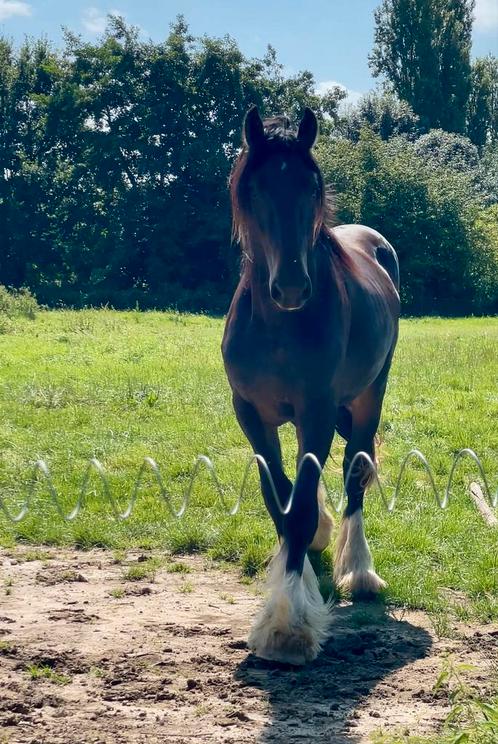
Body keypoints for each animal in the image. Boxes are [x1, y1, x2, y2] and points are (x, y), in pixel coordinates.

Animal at [223, 107, 400, 664]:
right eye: (258, 189)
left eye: (312, 186)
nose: (292, 287)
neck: (278, 326)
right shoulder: (250, 415)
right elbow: (279, 501)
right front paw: (295, 576)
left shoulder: (317, 411)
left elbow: (299, 507)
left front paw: (288, 626)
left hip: (368, 398)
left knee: (354, 473)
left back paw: (360, 570)